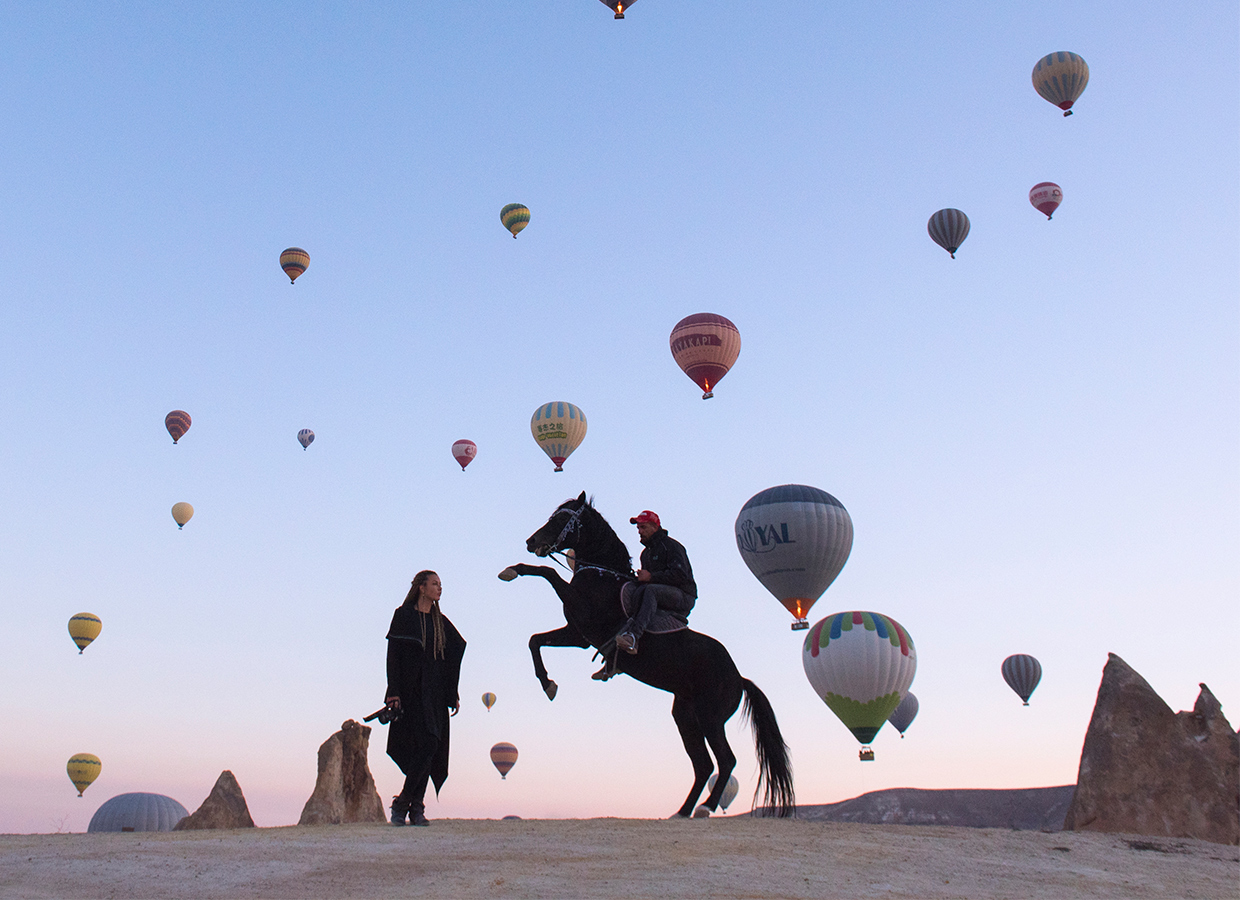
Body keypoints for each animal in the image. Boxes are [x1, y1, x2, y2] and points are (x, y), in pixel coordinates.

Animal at [502, 492, 795, 815]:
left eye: (562, 519)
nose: (531, 542)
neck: (602, 574)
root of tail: (738, 677)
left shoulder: (582, 617)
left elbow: (549, 572)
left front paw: (512, 571)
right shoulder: (578, 635)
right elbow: (535, 641)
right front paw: (548, 684)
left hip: (711, 718)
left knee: (725, 760)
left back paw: (705, 808)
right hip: (686, 717)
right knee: (703, 765)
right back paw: (682, 812)